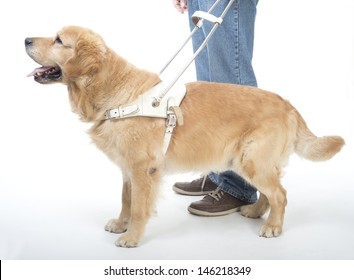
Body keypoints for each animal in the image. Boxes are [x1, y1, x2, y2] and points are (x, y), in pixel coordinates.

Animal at [25, 26, 346, 247]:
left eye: (58, 40)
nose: (26, 39)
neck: (115, 93)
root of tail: (288, 104)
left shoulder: (143, 169)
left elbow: (139, 207)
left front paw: (132, 237)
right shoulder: (128, 169)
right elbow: (126, 200)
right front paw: (120, 223)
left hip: (252, 159)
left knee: (280, 193)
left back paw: (272, 227)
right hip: (248, 161)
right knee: (271, 192)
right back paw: (256, 211)